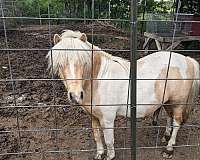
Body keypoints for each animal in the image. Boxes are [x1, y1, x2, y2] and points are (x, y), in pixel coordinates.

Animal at [46, 29, 198, 159]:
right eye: (59, 65)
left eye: (84, 63)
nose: (76, 95)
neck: (99, 80)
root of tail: (187, 59)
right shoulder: (93, 116)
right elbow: (97, 135)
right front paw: (99, 154)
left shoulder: (107, 118)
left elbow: (108, 140)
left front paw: (110, 156)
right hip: (168, 101)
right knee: (169, 117)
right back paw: (165, 136)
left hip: (178, 103)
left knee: (177, 122)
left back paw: (169, 149)